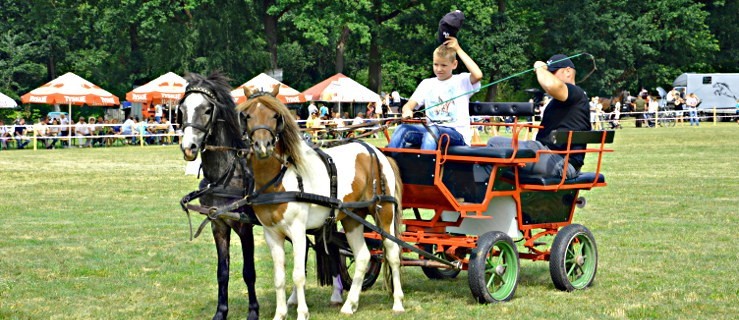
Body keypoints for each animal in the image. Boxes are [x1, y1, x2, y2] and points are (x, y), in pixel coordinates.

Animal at [238, 85, 404, 320]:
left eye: (275, 115)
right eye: (248, 115)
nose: (263, 146)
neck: (278, 179)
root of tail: (378, 153)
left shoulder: (297, 230)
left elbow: (298, 275)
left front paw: (302, 313)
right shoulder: (271, 233)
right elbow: (279, 277)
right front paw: (280, 314)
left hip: (385, 213)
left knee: (392, 253)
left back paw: (397, 302)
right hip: (353, 218)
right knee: (363, 256)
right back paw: (350, 304)